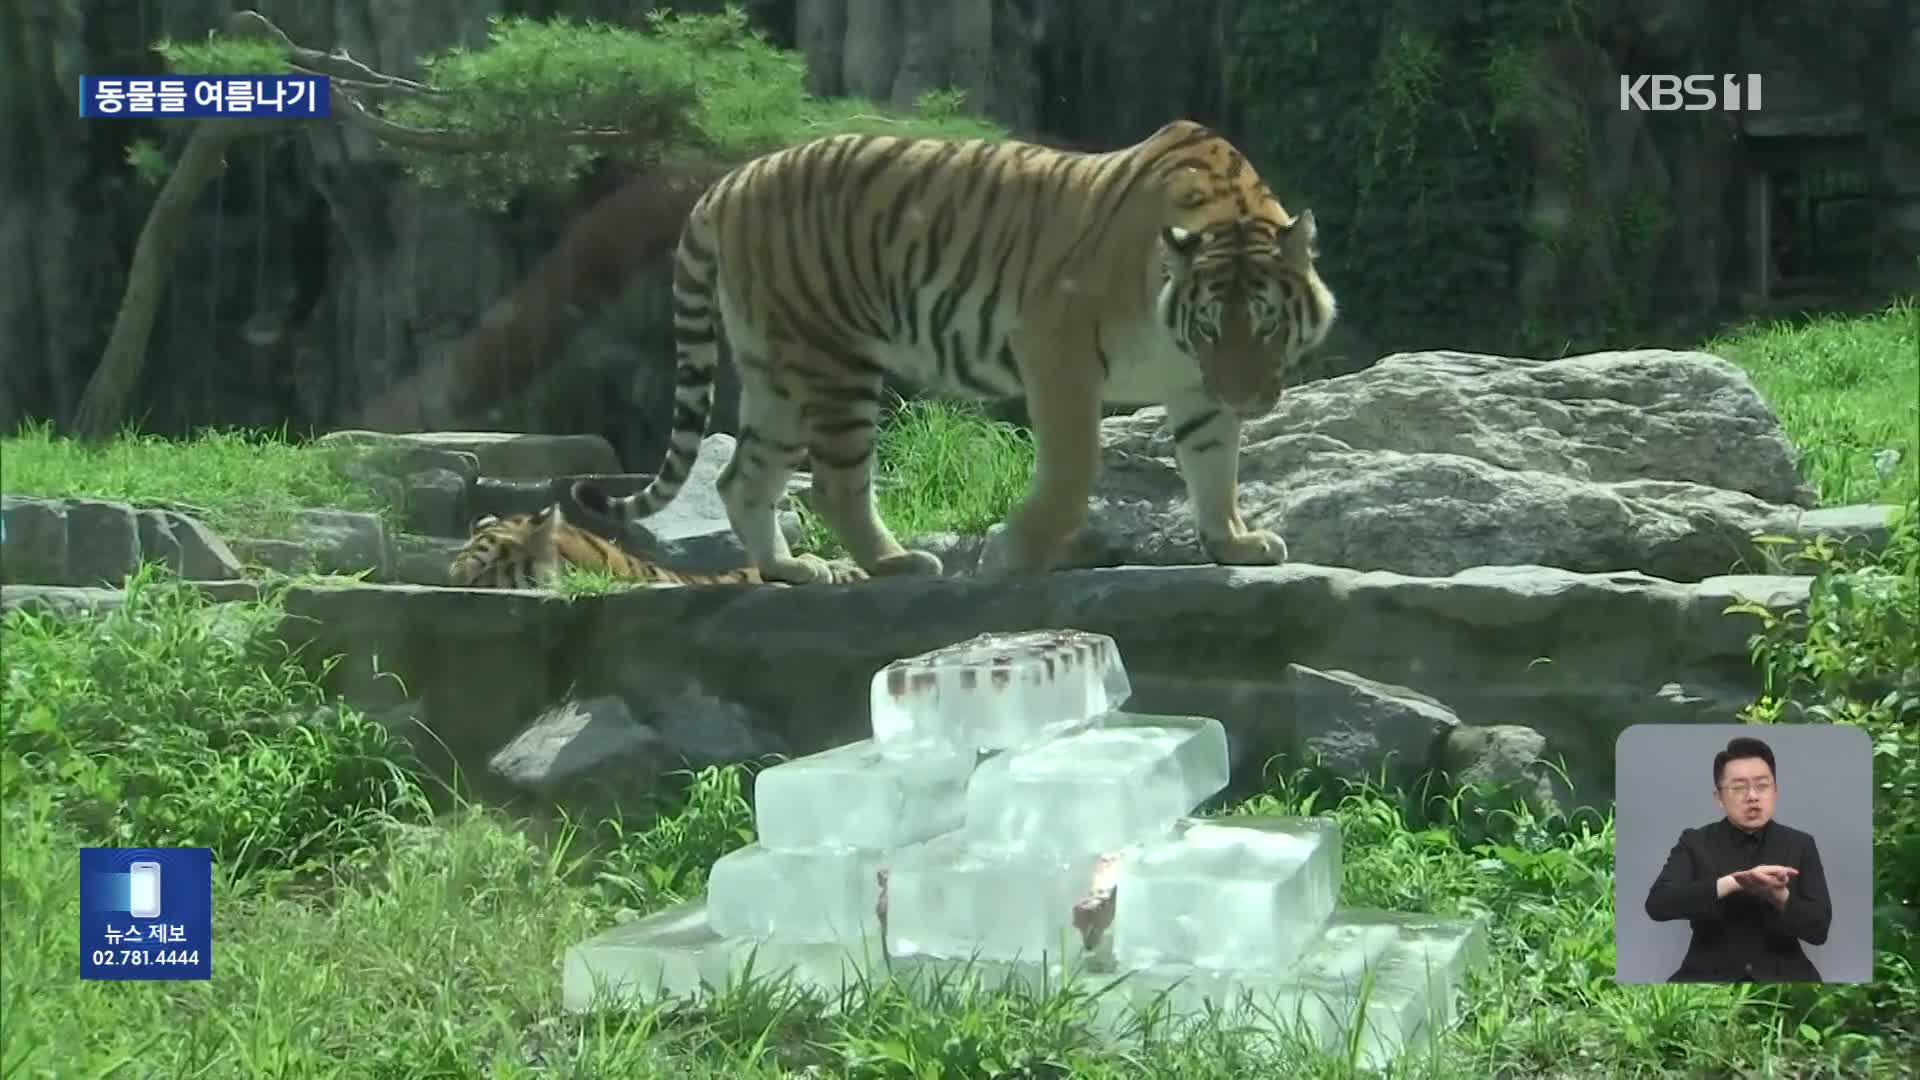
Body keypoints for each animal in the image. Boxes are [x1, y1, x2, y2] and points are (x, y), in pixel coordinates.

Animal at [572, 118, 1336, 584]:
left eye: (1266, 326)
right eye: (1210, 327)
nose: (1246, 395)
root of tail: (728, 182)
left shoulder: (1195, 387)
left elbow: (1214, 467)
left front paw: (1235, 542)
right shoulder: (1057, 349)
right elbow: (1072, 469)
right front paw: (1012, 554)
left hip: (775, 370)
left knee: (742, 478)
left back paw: (794, 570)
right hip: (834, 359)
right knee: (834, 485)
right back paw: (897, 563)